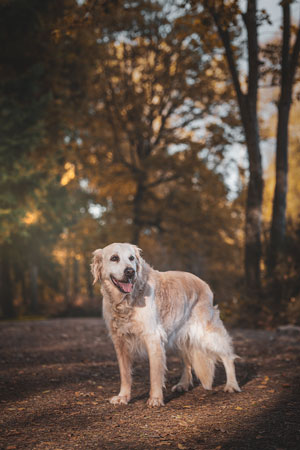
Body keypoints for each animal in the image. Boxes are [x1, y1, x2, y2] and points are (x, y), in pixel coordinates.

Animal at [90, 244, 240, 406]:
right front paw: (123, 396)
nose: (130, 272)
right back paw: (183, 384)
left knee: (227, 355)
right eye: (114, 258)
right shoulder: (120, 340)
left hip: (205, 332)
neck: (127, 301)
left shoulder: (153, 337)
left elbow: (155, 373)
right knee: (186, 360)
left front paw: (155, 399)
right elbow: (125, 373)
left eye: (131, 258)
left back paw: (231, 385)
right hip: (177, 336)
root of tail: (203, 283)